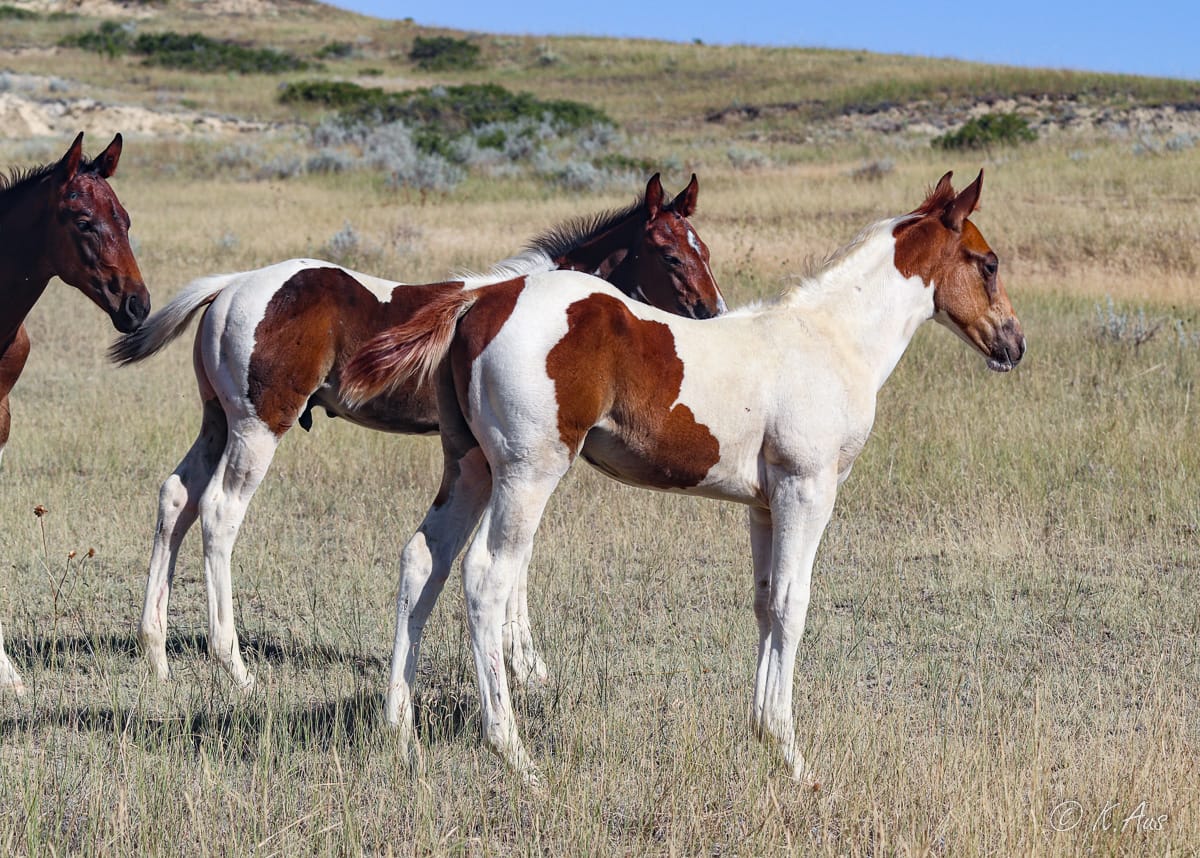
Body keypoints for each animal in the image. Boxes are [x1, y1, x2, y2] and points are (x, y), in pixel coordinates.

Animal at [112, 174, 724, 691]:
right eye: (669, 254)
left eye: (706, 252)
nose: (712, 313)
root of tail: (233, 285)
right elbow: (517, 557)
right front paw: (528, 666)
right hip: (258, 426)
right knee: (219, 512)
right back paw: (234, 666)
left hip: (217, 421)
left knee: (177, 497)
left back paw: (156, 652)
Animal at [343, 168, 1027, 787]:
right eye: (988, 264)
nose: (1013, 344)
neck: (830, 339)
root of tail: (481, 299)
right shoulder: (807, 488)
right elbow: (792, 603)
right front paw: (792, 756)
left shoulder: (764, 504)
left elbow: (763, 602)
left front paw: (761, 734)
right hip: (527, 472)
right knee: (487, 577)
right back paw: (513, 752)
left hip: (471, 468)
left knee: (423, 561)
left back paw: (400, 732)